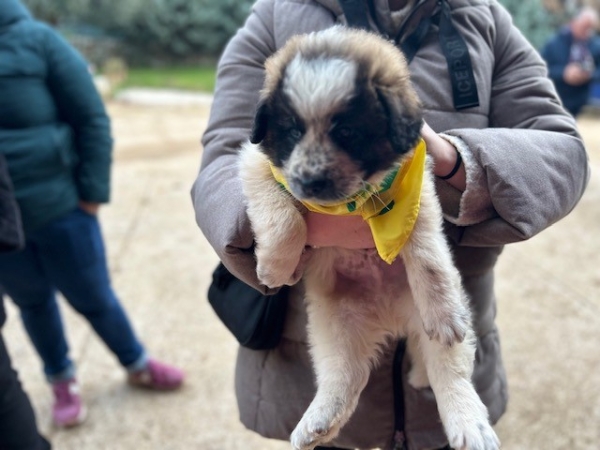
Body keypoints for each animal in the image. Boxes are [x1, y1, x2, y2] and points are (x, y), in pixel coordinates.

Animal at [237, 25, 500, 450]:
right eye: (292, 131)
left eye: (348, 133)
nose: (310, 181)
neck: (357, 201)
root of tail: (390, 318)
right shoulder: (257, 162)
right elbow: (283, 215)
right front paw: (276, 267)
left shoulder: (419, 196)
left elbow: (428, 257)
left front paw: (442, 309)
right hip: (334, 325)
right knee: (346, 375)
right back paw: (318, 421)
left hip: (426, 324)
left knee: (449, 370)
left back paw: (469, 423)